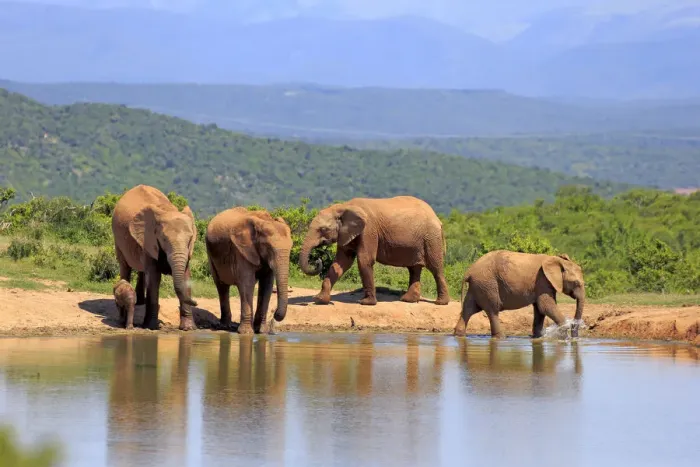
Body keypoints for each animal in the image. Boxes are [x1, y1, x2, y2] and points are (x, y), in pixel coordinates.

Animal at [112, 184, 198, 331]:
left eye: (190, 238)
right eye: (164, 239)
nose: (196, 302)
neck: (168, 210)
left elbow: (186, 276)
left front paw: (188, 329)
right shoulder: (149, 239)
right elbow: (153, 278)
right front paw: (150, 327)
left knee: (141, 270)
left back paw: (140, 301)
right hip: (117, 238)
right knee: (125, 266)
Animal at [299, 196, 450, 306]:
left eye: (323, 229)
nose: (317, 260)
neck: (344, 207)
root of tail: (437, 218)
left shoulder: (368, 230)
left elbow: (364, 260)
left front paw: (366, 303)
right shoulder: (346, 233)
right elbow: (341, 262)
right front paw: (319, 299)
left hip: (431, 238)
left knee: (435, 268)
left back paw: (440, 303)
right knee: (414, 268)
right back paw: (407, 300)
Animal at [453, 250, 585, 339]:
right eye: (576, 283)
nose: (575, 338)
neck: (556, 260)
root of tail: (469, 272)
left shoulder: (542, 284)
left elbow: (540, 309)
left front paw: (538, 337)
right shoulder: (542, 280)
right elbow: (546, 306)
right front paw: (565, 335)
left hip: (478, 286)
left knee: (468, 309)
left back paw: (458, 335)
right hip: (487, 284)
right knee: (492, 310)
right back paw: (501, 337)